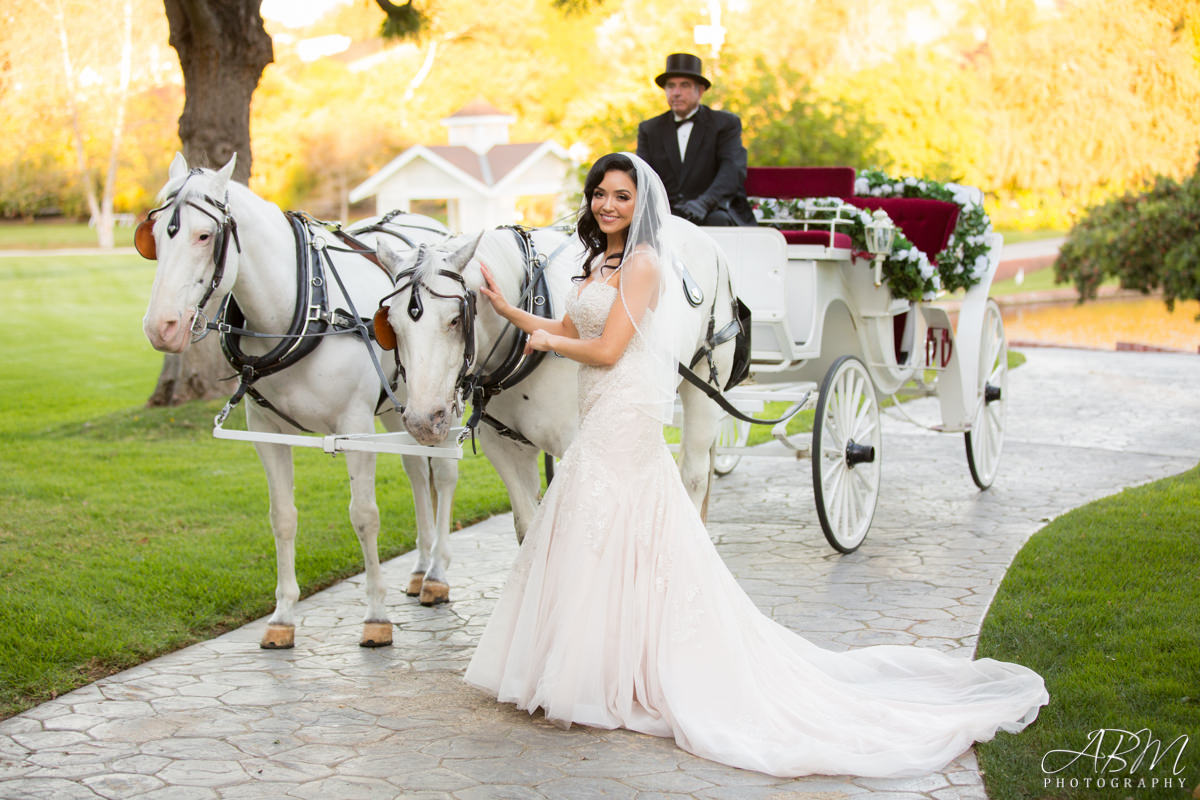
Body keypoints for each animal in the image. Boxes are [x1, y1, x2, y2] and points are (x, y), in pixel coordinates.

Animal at [140, 153, 456, 647]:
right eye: (153, 237)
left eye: (204, 235)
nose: (161, 327)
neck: (306, 308)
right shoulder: (265, 431)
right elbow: (282, 517)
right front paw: (283, 615)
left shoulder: (354, 427)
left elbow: (364, 515)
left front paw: (375, 615)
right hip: (402, 404)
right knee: (414, 470)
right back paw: (421, 567)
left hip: (439, 399)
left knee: (442, 474)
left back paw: (438, 573)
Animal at [374, 220, 734, 568]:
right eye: (391, 325)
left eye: (453, 320)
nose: (423, 421)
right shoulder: (504, 448)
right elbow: (528, 528)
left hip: (703, 382)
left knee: (693, 474)